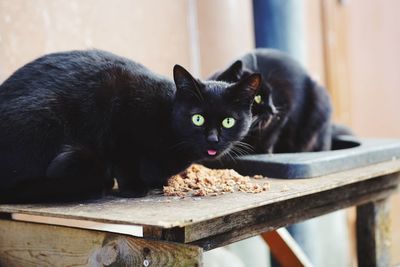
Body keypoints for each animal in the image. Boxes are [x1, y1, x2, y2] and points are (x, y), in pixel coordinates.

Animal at [0, 49, 260, 203]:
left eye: (228, 121)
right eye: (198, 119)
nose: (213, 139)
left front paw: (158, 181)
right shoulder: (119, 121)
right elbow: (125, 160)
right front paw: (134, 188)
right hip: (44, 116)